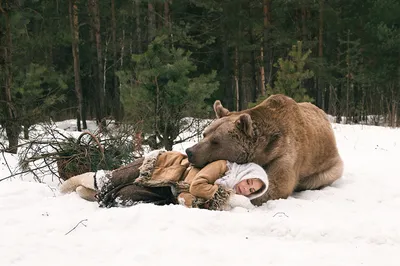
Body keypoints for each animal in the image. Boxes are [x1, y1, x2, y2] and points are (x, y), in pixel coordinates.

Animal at [185, 94, 344, 205]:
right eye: (205, 134)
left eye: (215, 141)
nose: (190, 152)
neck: (263, 151)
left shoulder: (284, 154)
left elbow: (276, 187)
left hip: (328, 167)